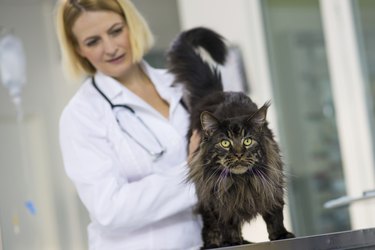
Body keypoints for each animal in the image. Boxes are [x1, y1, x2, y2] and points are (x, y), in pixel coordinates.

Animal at [167, 27, 294, 248]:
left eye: (247, 141)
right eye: (225, 143)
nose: (238, 154)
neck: (241, 182)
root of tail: (216, 93)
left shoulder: (271, 185)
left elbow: (274, 214)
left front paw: (281, 235)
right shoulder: (217, 198)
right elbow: (226, 222)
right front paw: (232, 242)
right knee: (210, 225)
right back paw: (216, 243)